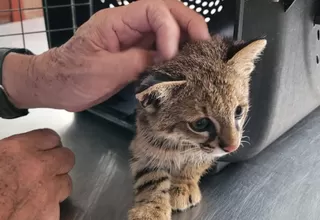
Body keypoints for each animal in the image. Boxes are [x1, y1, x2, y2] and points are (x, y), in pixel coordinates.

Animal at [128, 34, 268, 220]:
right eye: (200, 124)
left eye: (238, 111)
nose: (232, 147)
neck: (181, 141)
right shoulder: (142, 144)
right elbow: (151, 177)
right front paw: (150, 210)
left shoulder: (208, 152)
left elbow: (196, 163)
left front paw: (183, 184)